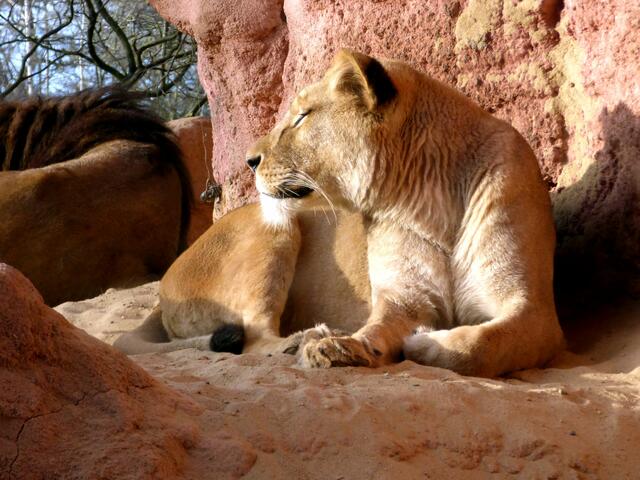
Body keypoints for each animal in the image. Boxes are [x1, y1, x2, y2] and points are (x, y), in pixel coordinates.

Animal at [115, 49, 564, 377]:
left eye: (301, 117)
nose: (249, 160)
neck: (424, 204)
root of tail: (166, 283)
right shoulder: (403, 299)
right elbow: (380, 328)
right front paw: (345, 345)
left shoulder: (535, 310)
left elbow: (482, 343)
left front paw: (420, 342)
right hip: (275, 226)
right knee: (253, 338)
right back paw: (302, 339)